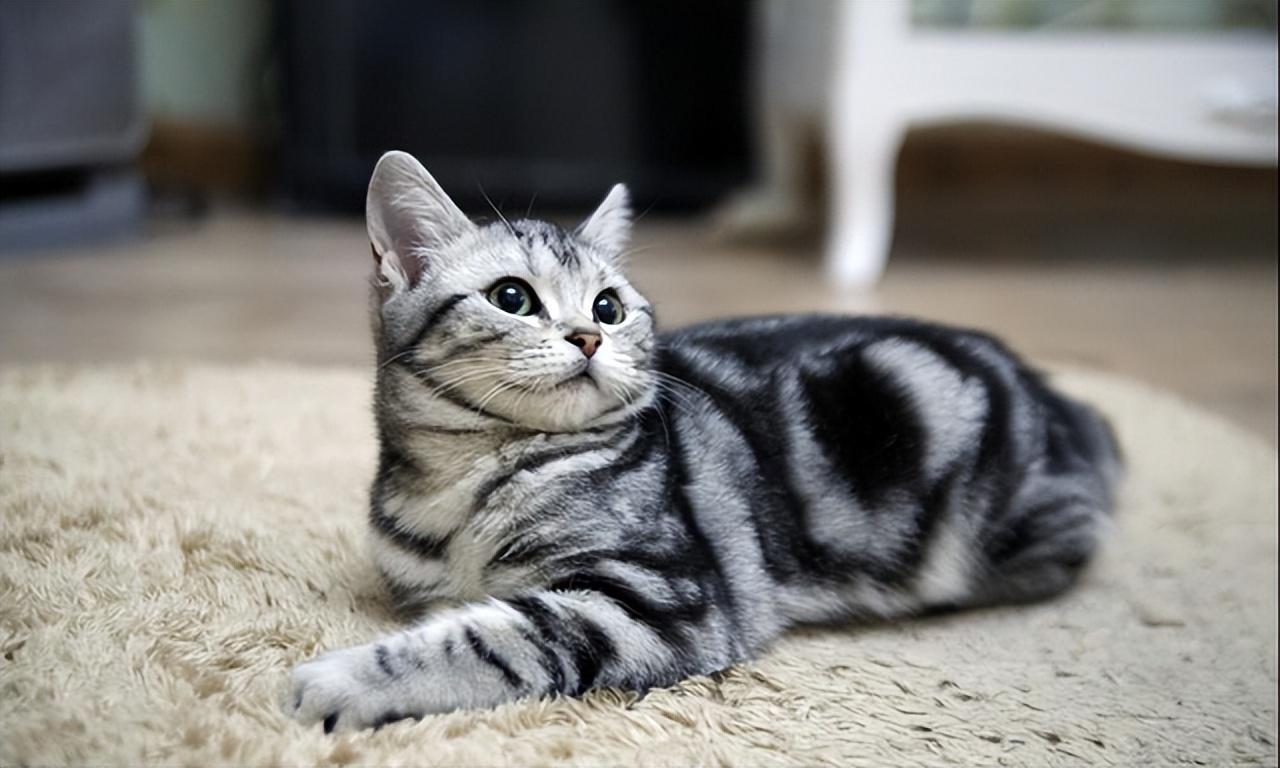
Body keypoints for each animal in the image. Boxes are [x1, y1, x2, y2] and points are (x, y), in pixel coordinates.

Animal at [287, 151, 1121, 732]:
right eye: (513, 298)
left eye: (609, 307)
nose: (589, 336)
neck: (472, 477)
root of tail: (1064, 403)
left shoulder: (658, 598)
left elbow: (489, 638)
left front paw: (339, 682)